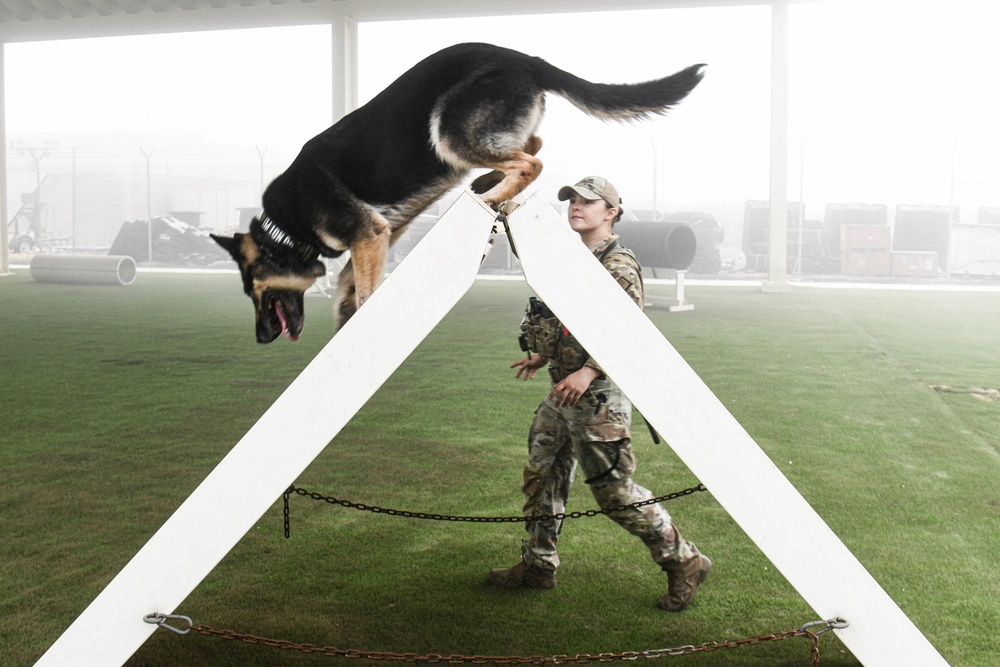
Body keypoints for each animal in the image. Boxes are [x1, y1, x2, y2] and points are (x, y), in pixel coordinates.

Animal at [211, 42, 704, 344]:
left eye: (254, 289)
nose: (260, 339)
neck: (286, 228)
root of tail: (528, 59)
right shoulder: (382, 232)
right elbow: (350, 285)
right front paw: (346, 316)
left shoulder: (368, 234)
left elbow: (366, 291)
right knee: (533, 146)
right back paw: (488, 184)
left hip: (449, 132)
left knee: (532, 161)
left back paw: (489, 193)